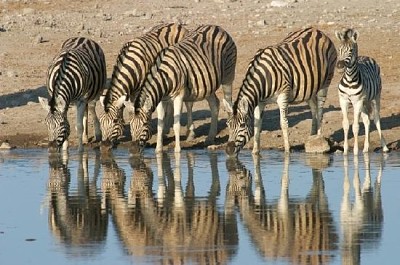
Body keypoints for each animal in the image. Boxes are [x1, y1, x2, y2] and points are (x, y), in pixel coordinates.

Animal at [126, 25, 238, 153]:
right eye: (130, 126)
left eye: (145, 125)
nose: (133, 150)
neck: (164, 75)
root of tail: (217, 27)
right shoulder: (161, 99)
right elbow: (160, 124)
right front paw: (158, 150)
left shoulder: (178, 96)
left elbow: (176, 125)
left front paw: (177, 150)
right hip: (208, 82)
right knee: (214, 104)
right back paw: (210, 137)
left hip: (228, 76)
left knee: (228, 103)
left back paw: (229, 137)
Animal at [225, 26, 338, 155]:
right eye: (228, 124)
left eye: (242, 125)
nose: (228, 150)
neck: (264, 78)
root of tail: (317, 30)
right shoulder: (260, 102)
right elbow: (257, 124)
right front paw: (255, 152)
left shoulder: (283, 96)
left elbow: (283, 123)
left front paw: (287, 150)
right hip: (309, 88)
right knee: (314, 109)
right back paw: (312, 137)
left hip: (325, 83)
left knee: (320, 111)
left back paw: (319, 138)